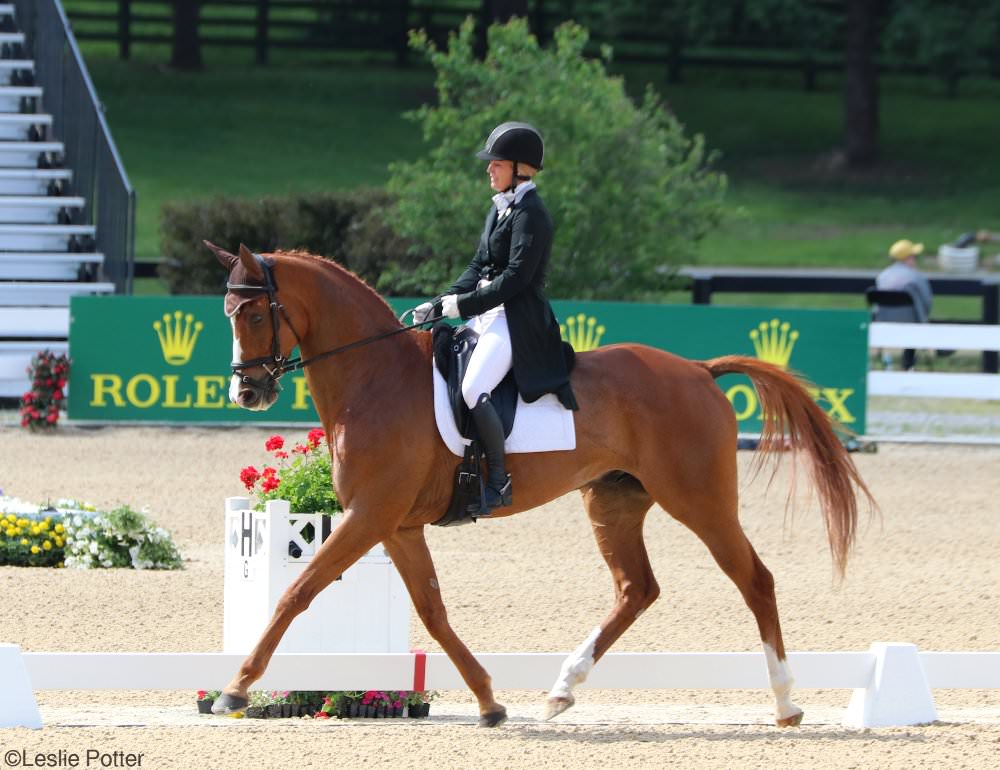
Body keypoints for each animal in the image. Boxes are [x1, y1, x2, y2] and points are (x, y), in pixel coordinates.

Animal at [207, 242, 872, 728]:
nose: (246, 392)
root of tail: (698, 370)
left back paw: (786, 703)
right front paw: (489, 701)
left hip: (700, 501)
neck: (375, 378)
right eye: (227, 315)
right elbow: (433, 611)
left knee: (753, 579)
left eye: (256, 313)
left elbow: (297, 592)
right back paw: (561, 690)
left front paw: (235, 690)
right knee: (636, 589)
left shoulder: (371, 515)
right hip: (613, 501)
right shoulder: (396, 524)